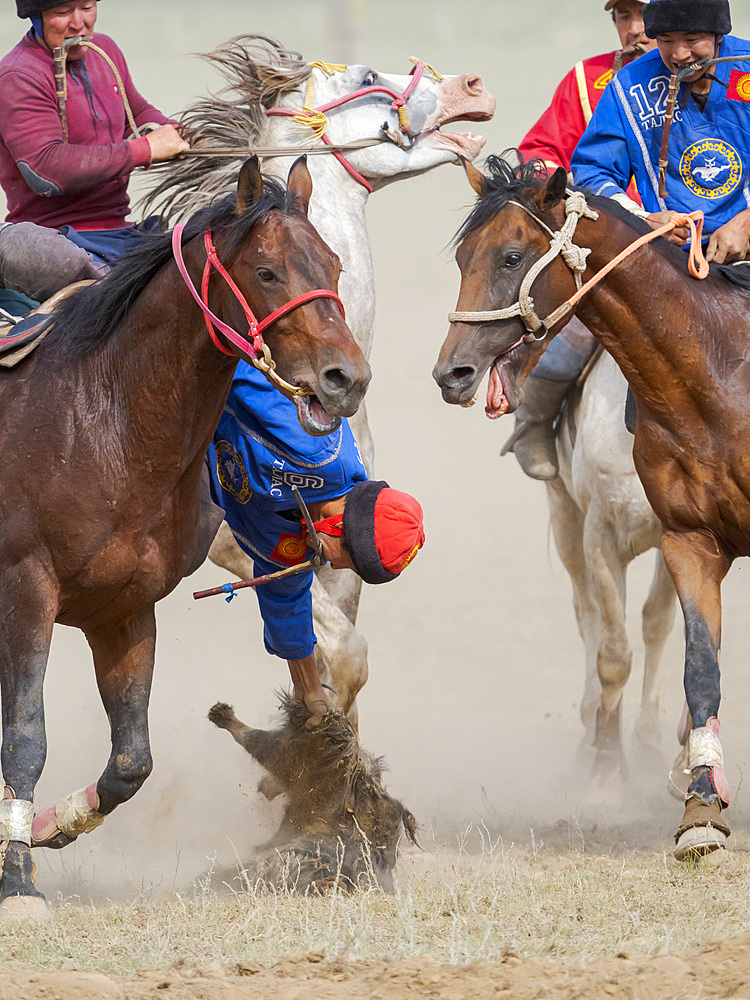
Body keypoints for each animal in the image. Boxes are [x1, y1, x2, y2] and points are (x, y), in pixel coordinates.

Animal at [0, 154, 374, 916]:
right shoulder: (26, 591)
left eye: (333, 263)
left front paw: (53, 826)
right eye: (267, 271)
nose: (345, 378)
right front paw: (18, 880)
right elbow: (24, 737)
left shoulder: (123, 610)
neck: (100, 418)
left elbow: (131, 762)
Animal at [143, 37, 496, 728]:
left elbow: (331, 663)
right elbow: (342, 653)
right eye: (366, 75)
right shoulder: (241, 546)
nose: (472, 87)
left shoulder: (341, 545)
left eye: (332, 263)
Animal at [432, 154, 750, 860]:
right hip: (568, 521)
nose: (452, 373)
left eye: (511, 255)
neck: (718, 374)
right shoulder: (672, 538)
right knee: (594, 623)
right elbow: (670, 662)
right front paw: (681, 800)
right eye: (463, 255)